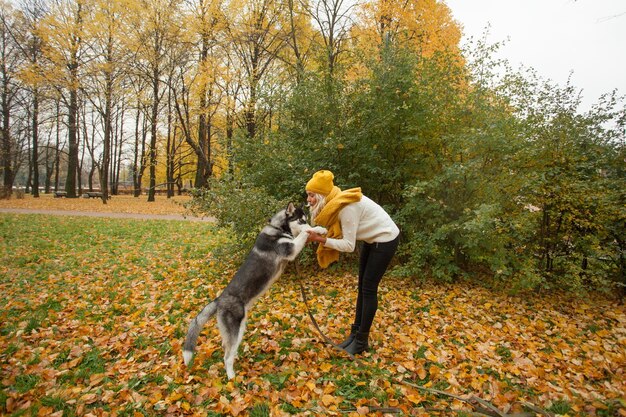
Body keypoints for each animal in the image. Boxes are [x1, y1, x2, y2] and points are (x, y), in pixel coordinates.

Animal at [182, 203, 324, 378]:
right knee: (226, 357)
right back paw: (232, 377)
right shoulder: (290, 249)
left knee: (227, 348)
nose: (310, 224)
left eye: (306, 219)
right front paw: (317, 229)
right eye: (301, 220)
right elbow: (304, 234)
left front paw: (318, 229)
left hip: (239, 329)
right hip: (235, 331)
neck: (278, 228)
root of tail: (219, 299)